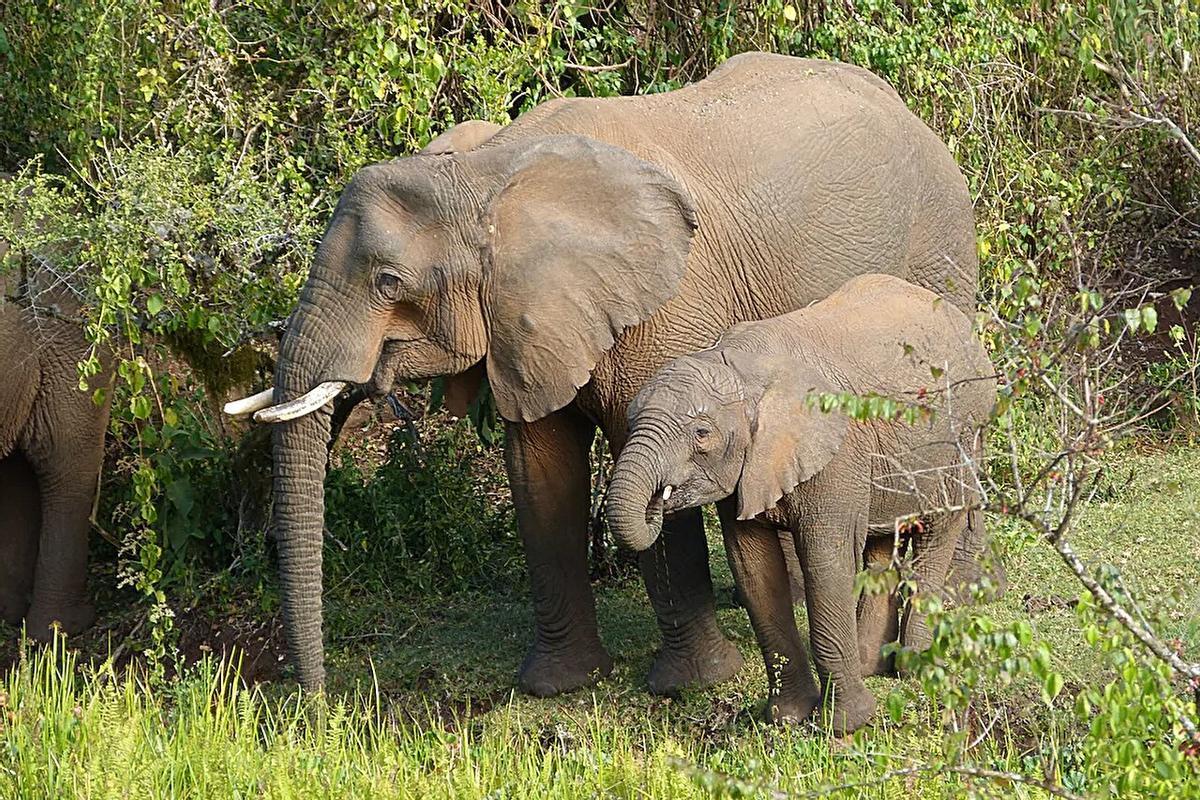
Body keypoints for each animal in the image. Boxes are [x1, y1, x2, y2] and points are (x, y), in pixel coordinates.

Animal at [223, 52, 987, 695]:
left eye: (388, 282)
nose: (313, 702)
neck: (488, 173)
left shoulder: (669, 303)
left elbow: (634, 449)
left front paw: (691, 685)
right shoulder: (526, 320)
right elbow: (539, 467)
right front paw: (557, 685)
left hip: (941, 251)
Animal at [606, 274, 998, 734]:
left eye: (701, 433)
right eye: (630, 421)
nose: (658, 501)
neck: (740, 368)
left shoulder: (838, 454)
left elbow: (827, 563)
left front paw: (847, 725)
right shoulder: (750, 470)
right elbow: (754, 569)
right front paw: (786, 718)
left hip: (962, 434)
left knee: (936, 533)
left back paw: (913, 667)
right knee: (880, 542)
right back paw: (871, 666)